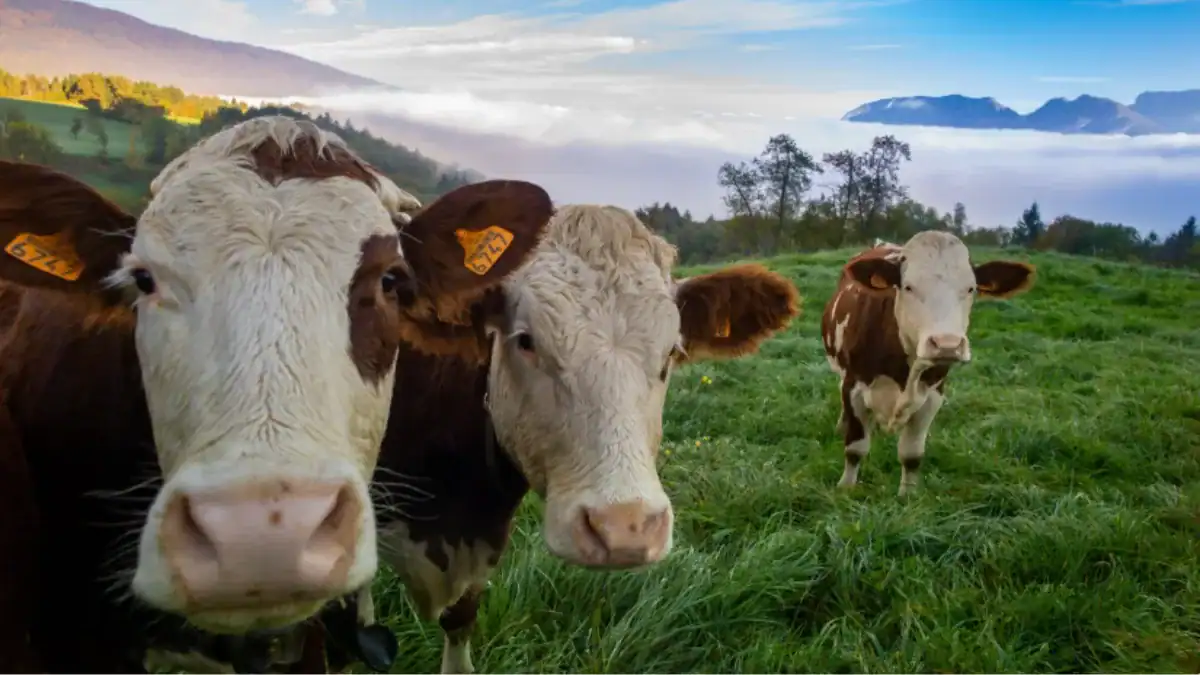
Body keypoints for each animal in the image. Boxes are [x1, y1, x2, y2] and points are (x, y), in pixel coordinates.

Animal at [820, 231, 1036, 496]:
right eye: (908, 287)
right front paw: (846, 488)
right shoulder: (854, 387)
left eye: (971, 288)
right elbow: (855, 448)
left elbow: (911, 455)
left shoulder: (933, 395)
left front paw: (907, 496)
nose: (947, 344)